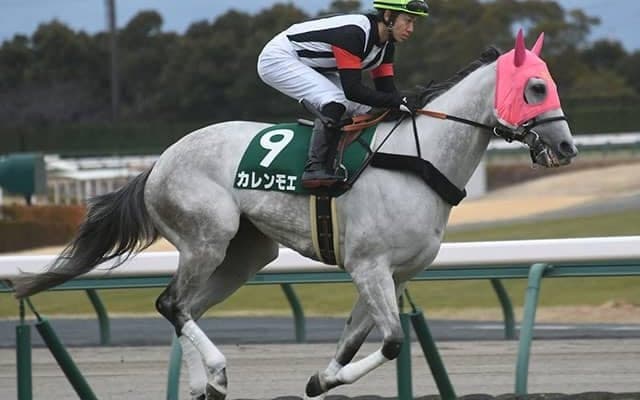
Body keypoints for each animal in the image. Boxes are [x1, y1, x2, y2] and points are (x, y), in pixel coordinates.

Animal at [9, 31, 577, 400]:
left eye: (550, 84)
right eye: (536, 88)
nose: (567, 147)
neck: (419, 159)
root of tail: (157, 165)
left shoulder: (394, 274)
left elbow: (354, 341)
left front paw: (321, 379)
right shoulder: (368, 265)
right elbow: (393, 341)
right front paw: (323, 379)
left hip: (245, 255)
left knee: (185, 309)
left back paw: (202, 383)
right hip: (207, 237)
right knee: (171, 303)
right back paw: (215, 371)